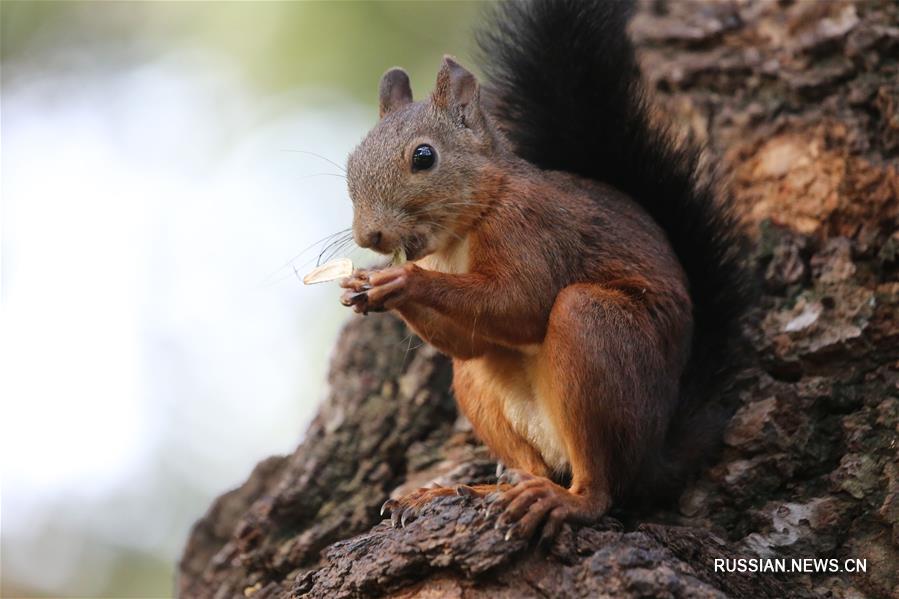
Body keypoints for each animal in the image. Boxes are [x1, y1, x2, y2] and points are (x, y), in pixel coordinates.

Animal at [336, 0, 744, 544]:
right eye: (351, 162)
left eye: (424, 157)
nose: (369, 237)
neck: (464, 232)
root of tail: (657, 455)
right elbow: (472, 341)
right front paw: (366, 289)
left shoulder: (530, 229)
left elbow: (523, 304)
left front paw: (402, 283)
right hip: (482, 392)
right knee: (523, 452)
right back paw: (461, 493)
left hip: (602, 338)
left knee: (601, 484)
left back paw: (562, 500)